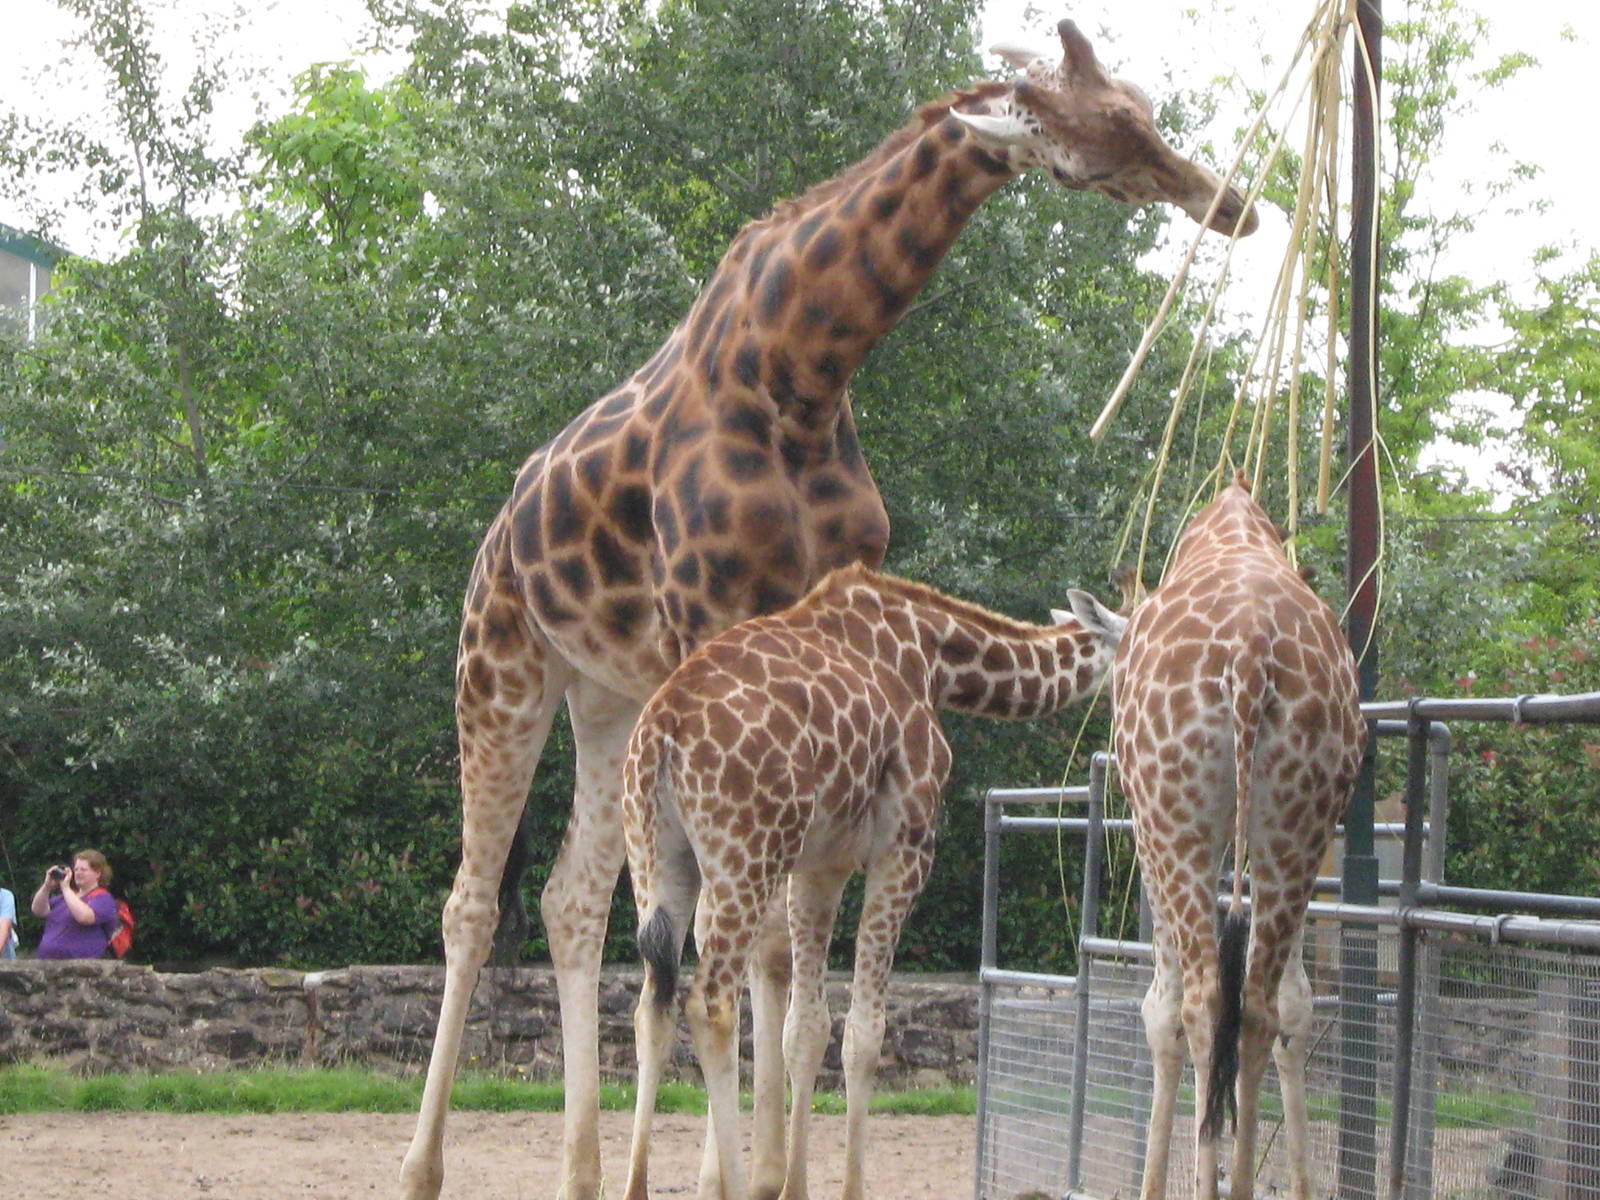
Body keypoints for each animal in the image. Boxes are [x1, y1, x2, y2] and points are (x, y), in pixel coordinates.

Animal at [620, 563, 1127, 1200]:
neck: (934, 657)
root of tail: (660, 734)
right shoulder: (904, 844)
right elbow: (864, 1032)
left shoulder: (823, 860)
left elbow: (806, 1029)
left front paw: (795, 1186)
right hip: (747, 855)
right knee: (708, 1003)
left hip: (658, 861)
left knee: (653, 1003)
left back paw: (636, 1185)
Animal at [1111, 476, 1366, 1200]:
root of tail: (1250, 654)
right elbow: (1296, 1002)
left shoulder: (1146, 825)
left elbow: (1159, 1007)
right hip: (1299, 819)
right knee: (1256, 1007)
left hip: (1176, 818)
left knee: (1203, 1002)